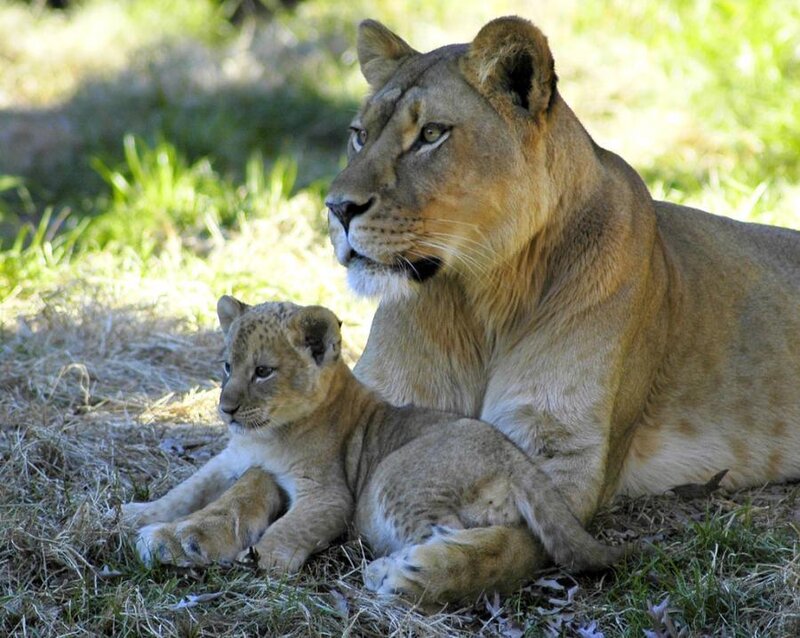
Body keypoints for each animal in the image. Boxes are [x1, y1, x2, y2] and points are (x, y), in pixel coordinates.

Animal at [123, 296, 627, 603]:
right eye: (227, 366)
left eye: (263, 371)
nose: (225, 409)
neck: (265, 436)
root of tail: (517, 460)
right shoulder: (232, 459)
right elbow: (189, 489)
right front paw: (138, 514)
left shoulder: (331, 494)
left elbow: (290, 527)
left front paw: (269, 558)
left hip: (391, 479)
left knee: (456, 536)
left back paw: (394, 572)